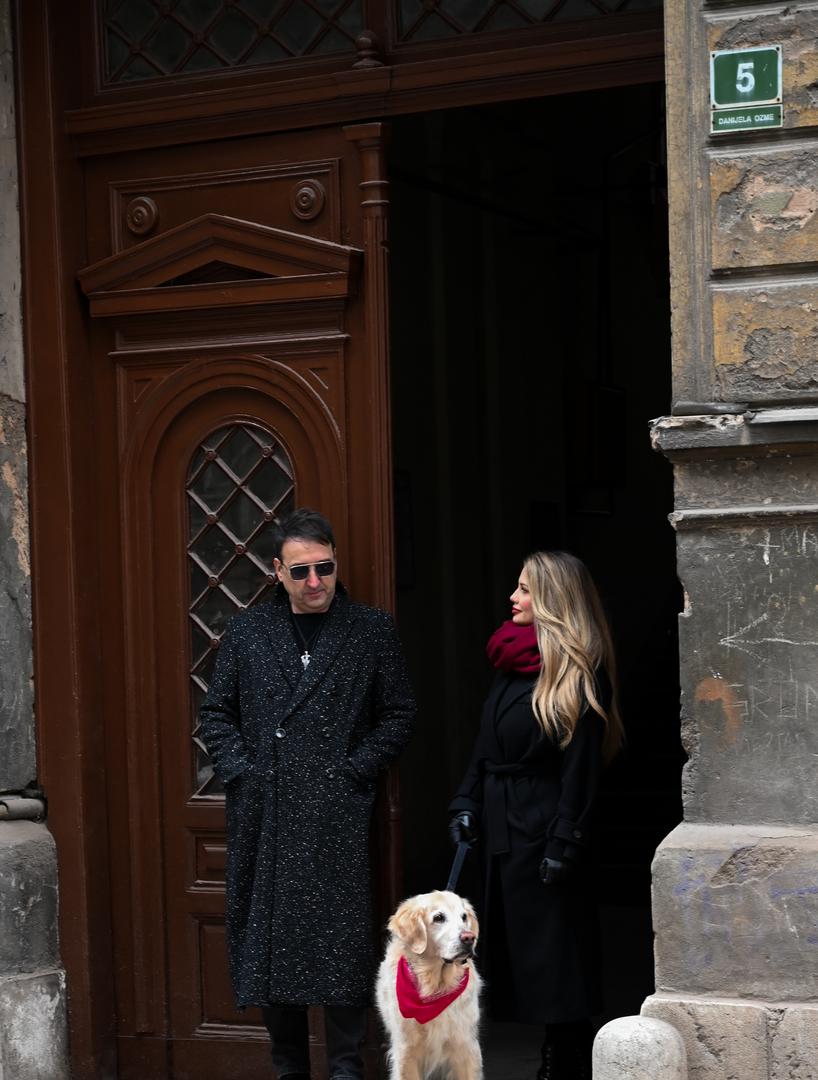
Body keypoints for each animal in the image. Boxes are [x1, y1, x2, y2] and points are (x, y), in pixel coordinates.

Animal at [376, 890, 483, 1080]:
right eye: (438, 917)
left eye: (463, 917)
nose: (469, 937)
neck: (435, 987)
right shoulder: (407, 1051)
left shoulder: (465, 1046)